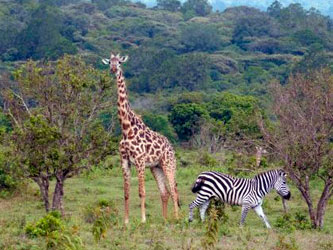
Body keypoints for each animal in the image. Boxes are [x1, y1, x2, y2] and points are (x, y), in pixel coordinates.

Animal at [102, 53, 178, 225]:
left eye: (120, 62)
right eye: (110, 62)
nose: (113, 69)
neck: (126, 129)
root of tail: (171, 146)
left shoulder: (140, 161)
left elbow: (141, 191)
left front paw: (143, 220)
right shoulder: (125, 161)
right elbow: (126, 193)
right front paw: (126, 221)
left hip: (168, 164)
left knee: (174, 190)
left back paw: (178, 218)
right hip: (156, 167)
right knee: (165, 192)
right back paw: (164, 219)